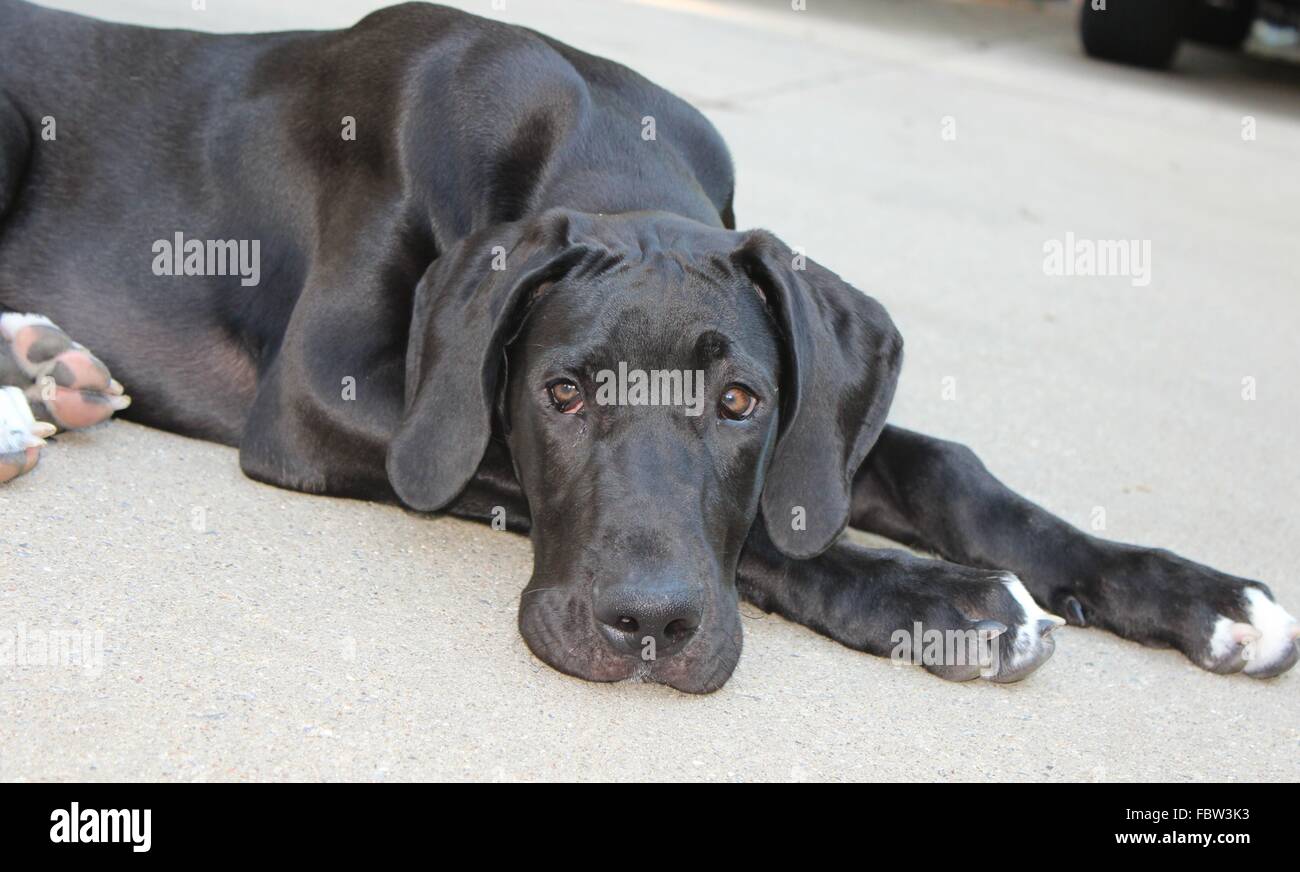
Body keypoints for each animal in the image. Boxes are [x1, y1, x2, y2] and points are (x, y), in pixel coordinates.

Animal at [0, 3, 1294, 691]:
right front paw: (942, 598)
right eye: (562, 392)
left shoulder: (818, 409)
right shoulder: (325, 395)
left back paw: (48, 373)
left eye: (739, 404)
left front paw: (1197, 591)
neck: (592, 137)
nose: (649, 629)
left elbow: (942, 470)